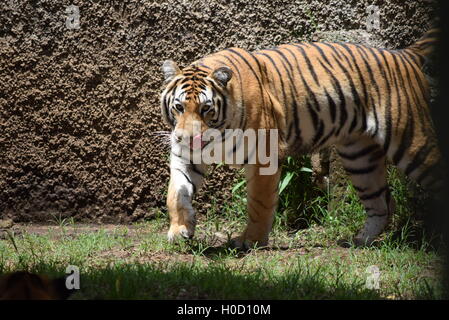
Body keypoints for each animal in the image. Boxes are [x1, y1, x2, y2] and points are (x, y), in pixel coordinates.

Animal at [159, 26, 442, 249]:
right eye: (179, 107)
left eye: (206, 109)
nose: (188, 138)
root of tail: (405, 54)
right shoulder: (185, 156)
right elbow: (176, 192)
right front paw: (180, 229)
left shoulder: (263, 157)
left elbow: (259, 202)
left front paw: (250, 240)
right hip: (360, 157)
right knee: (382, 203)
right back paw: (360, 241)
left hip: (411, 142)